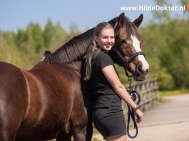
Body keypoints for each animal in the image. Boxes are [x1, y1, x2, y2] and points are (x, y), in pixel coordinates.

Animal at [0, 12, 148, 140]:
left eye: (141, 40)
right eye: (122, 40)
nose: (143, 69)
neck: (73, 69)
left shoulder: (63, 134)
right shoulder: (81, 129)